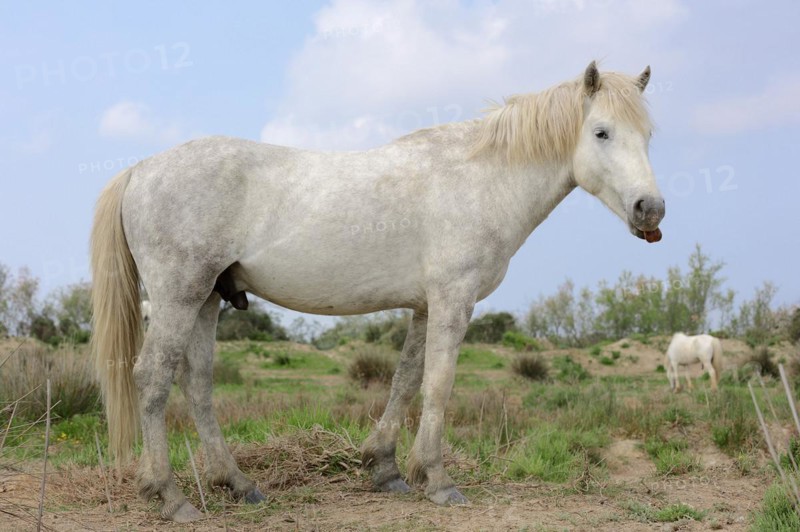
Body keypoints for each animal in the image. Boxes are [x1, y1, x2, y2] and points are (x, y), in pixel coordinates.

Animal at [90, 61, 664, 522]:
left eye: (648, 134)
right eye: (601, 132)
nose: (651, 210)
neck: (481, 179)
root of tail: (140, 170)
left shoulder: (426, 307)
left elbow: (406, 381)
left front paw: (385, 468)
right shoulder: (454, 300)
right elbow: (438, 385)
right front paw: (438, 481)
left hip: (207, 299)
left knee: (199, 384)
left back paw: (237, 483)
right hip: (178, 296)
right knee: (152, 379)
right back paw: (169, 496)